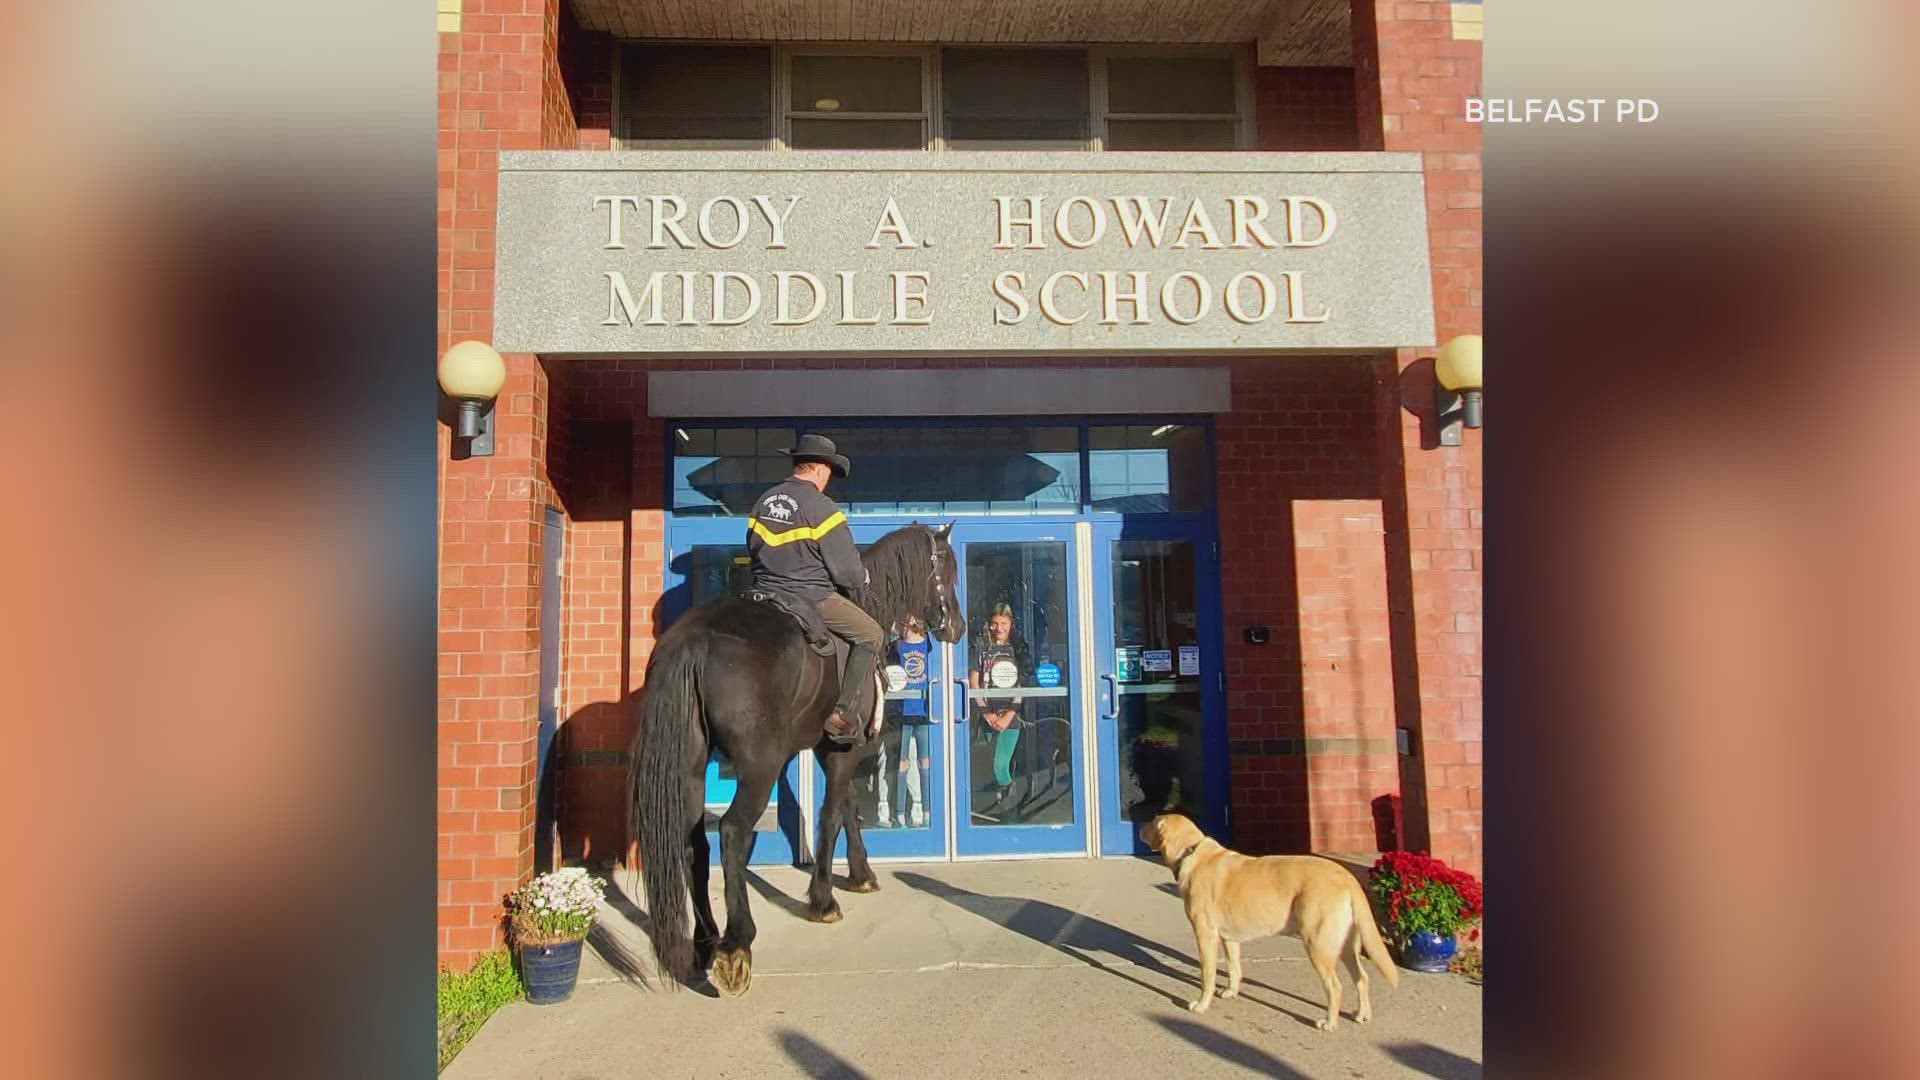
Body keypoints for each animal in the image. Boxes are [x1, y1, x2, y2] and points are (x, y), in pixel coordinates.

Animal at [625, 522, 960, 991]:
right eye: (947, 568)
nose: (958, 627)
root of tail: (695, 639)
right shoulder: (844, 748)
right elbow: (832, 815)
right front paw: (823, 900)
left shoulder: (828, 748)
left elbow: (848, 807)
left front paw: (861, 875)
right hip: (759, 766)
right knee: (732, 832)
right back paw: (736, 944)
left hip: (691, 767)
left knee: (695, 845)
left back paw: (706, 942)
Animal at [1136, 810, 1397, 1030]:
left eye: (1152, 821)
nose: (1138, 825)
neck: (1191, 852)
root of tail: (1346, 876)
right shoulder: (1229, 938)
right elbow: (1234, 967)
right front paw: (1231, 992)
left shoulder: (1205, 934)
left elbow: (1207, 975)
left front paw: (1201, 1005)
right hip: (1344, 944)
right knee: (1361, 977)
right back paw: (1362, 1014)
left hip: (1317, 943)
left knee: (1335, 986)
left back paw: (1329, 1023)